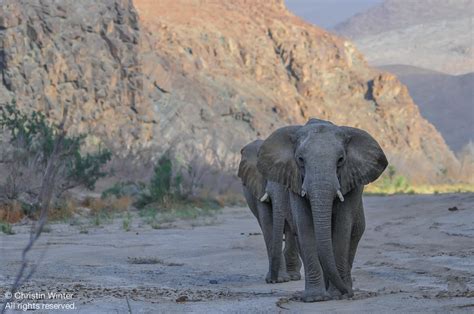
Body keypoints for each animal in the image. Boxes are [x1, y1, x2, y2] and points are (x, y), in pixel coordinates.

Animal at [239, 139, 302, 284]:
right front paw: (278, 280)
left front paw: (290, 278)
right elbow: (267, 221)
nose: (272, 280)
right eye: (264, 171)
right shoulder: (258, 185)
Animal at [256, 118, 386, 302]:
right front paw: (315, 298)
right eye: (300, 159)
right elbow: (305, 227)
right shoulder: (296, 181)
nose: (348, 294)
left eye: (341, 159)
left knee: (352, 235)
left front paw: (338, 295)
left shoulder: (350, 180)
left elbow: (342, 228)